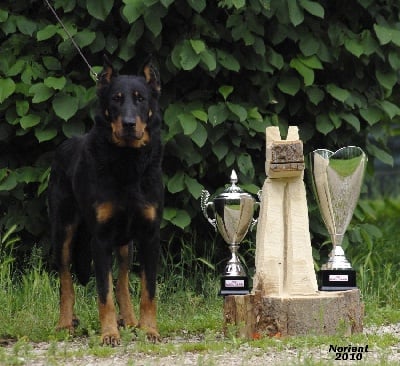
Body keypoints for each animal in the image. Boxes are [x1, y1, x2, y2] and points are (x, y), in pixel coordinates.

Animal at [47, 58, 163, 346]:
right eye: (116, 99)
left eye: (140, 99)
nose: (129, 124)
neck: (127, 163)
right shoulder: (100, 240)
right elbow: (103, 294)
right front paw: (109, 334)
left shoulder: (149, 236)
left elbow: (148, 291)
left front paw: (149, 330)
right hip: (63, 232)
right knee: (65, 282)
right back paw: (65, 323)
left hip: (125, 244)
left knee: (122, 280)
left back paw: (130, 321)